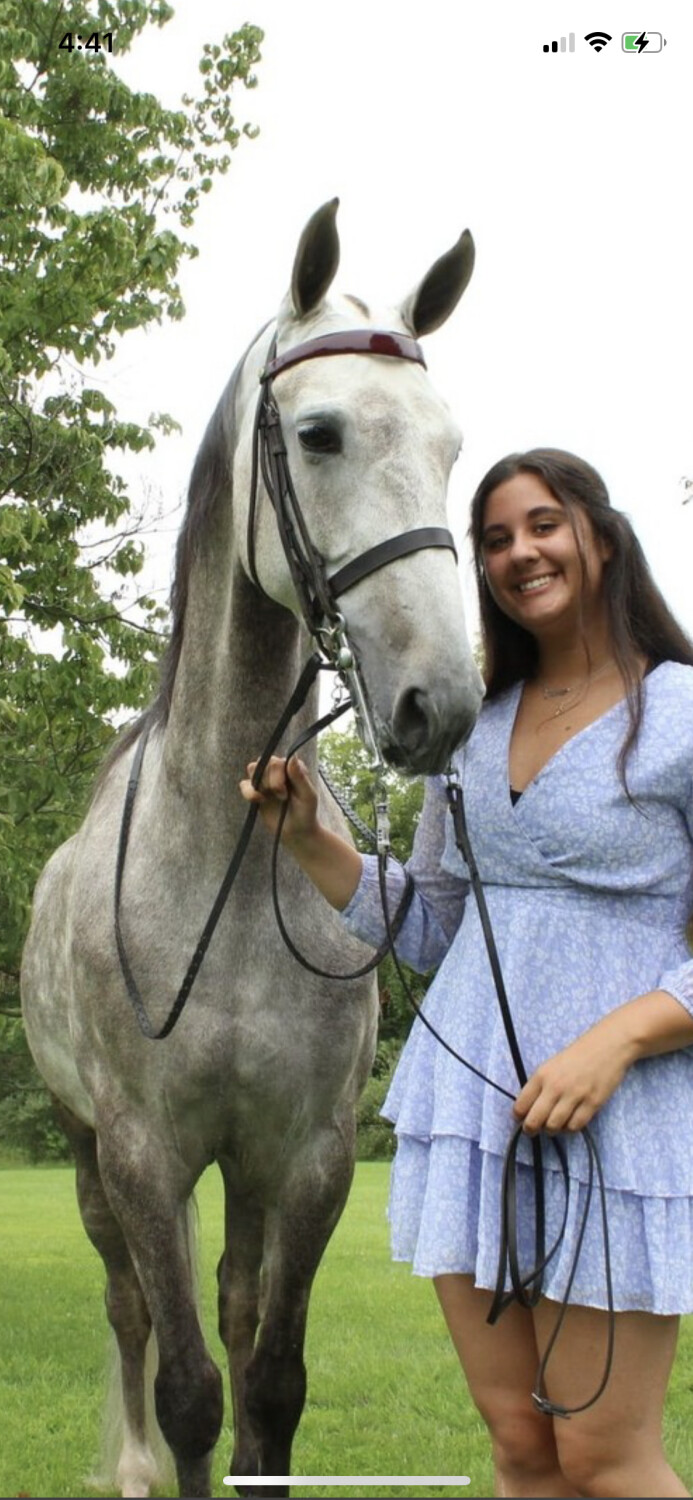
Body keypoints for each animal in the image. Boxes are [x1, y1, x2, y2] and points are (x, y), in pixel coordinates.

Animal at [20, 198, 484, 1498]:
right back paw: (128, 1465)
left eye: (451, 447)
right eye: (320, 433)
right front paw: (168, 1453)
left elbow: (270, 1380)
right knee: (132, 1313)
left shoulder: (305, 1156)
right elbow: (186, 1386)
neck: (220, 864)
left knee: (230, 1304)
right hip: (88, 1156)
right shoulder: (143, 1157)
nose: (443, 701)